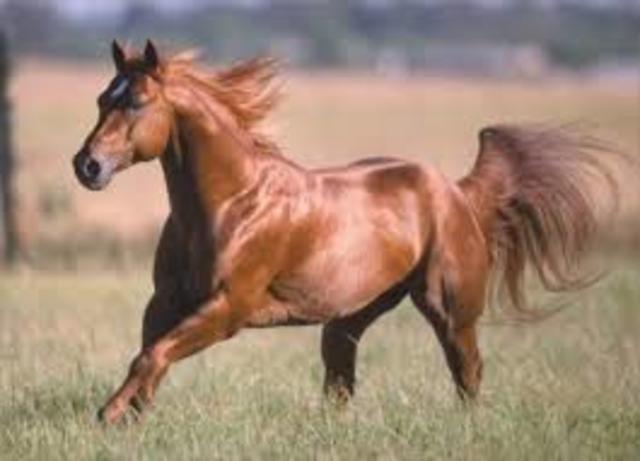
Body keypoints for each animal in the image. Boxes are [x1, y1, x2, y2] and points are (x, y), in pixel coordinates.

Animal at [73, 40, 616, 424]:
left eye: (138, 102)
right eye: (102, 99)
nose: (87, 166)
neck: (232, 203)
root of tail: (456, 191)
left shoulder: (227, 309)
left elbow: (151, 356)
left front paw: (108, 414)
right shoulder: (165, 302)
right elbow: (148, 357)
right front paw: (130, 417)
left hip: (449, 309)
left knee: (467, 369)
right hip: (349, 318)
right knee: (341, 382)